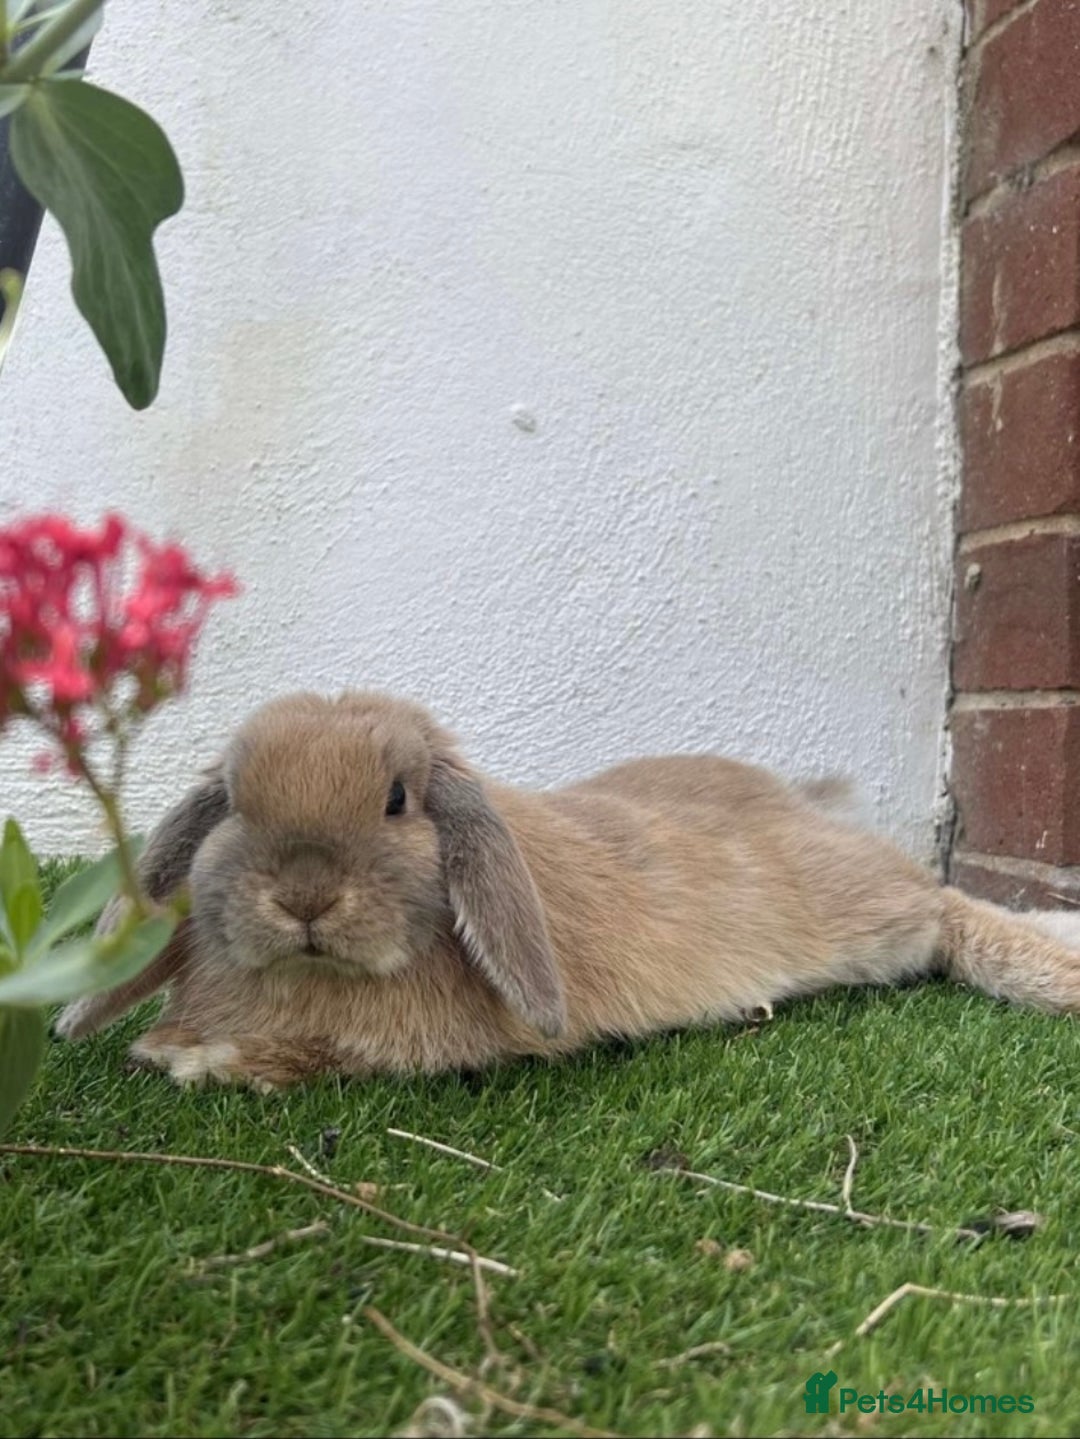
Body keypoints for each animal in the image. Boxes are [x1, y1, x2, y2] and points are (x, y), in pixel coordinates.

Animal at [55, 689, 1080, 1090]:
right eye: (232, 801)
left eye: (397, 799)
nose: (304, 899)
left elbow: (323, 1057)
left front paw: (196, 1058)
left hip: (864, 910)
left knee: (948, 908)